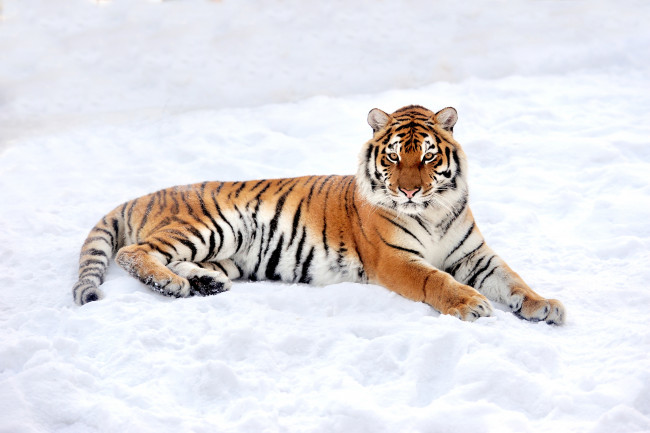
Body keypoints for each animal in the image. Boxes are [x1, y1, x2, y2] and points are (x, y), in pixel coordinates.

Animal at [72, 104, 565, 324]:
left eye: (426, 157)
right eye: (393, 157)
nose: (408, 190)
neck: (434, 210)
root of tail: (145, 195)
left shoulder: (475, 255)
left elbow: (513, 280)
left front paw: (544, 305)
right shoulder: (395, 259)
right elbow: (436, 280)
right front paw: (471, 304)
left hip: (224, 253)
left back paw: (203, 284)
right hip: (211, 225)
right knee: (135, 253)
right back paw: (173, 285)